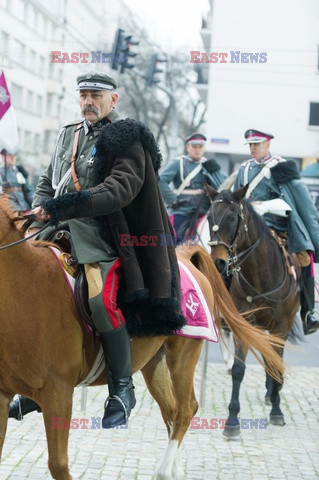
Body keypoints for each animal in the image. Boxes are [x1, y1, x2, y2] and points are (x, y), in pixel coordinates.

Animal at [0, 197, 284, 478]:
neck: (28, 286)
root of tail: (184, 258)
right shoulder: (4, 395)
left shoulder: (58, 393)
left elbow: (58, 464)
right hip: (154, 364)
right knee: (171, 410)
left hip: (182, 356)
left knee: (185, 409)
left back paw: (165, 469)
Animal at [206, 187, 302, 438]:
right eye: (209, 217)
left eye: (232, 217)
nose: (218, 264)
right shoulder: (244, 323)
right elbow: (238, 369)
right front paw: (232, 421)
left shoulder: (281, 327)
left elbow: (276, 364)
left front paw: (277, 411)